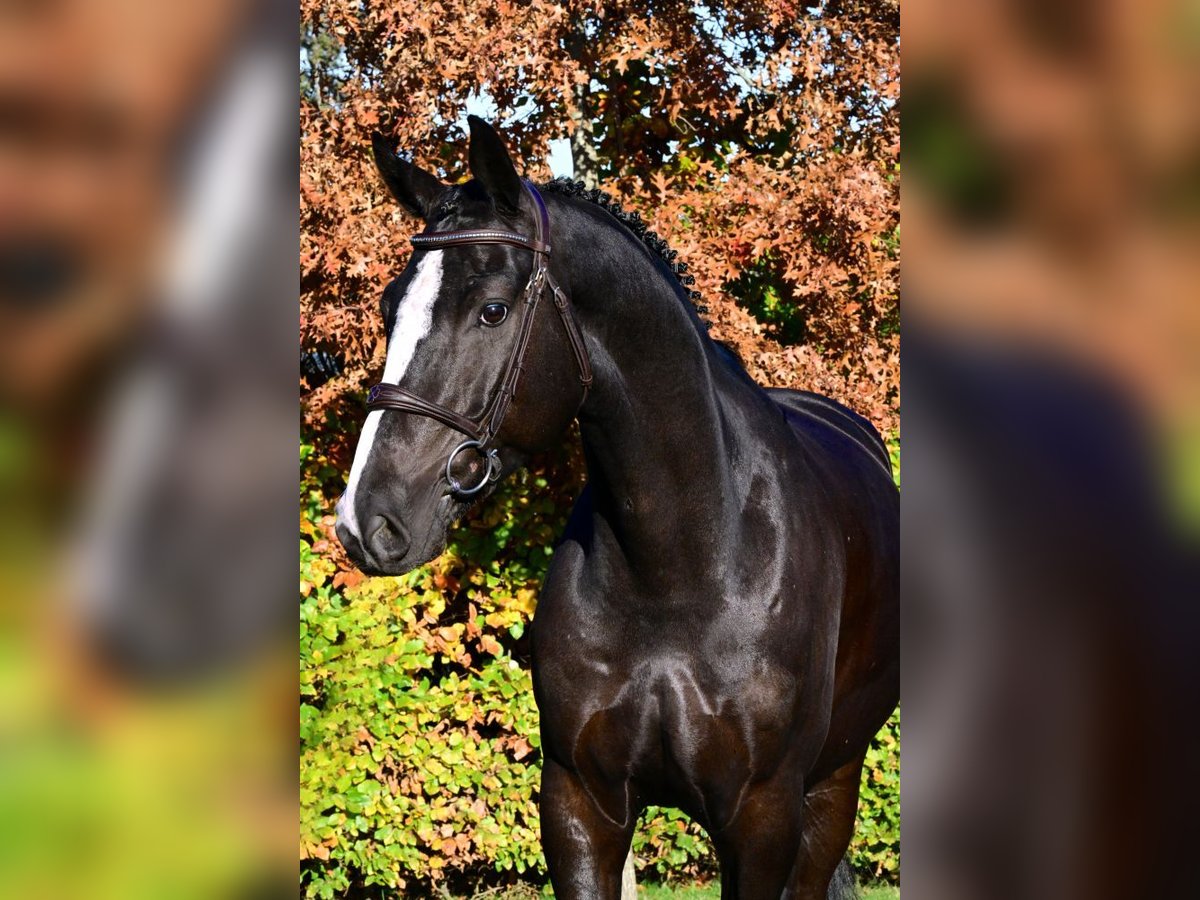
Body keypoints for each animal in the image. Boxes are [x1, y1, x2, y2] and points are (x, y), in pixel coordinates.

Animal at [335, 115, 898, 899]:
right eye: (391, 307)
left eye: (492, 310)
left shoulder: (762, 819)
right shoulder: (580, 805)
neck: (683, 567)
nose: (368, 520)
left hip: (833, 787)